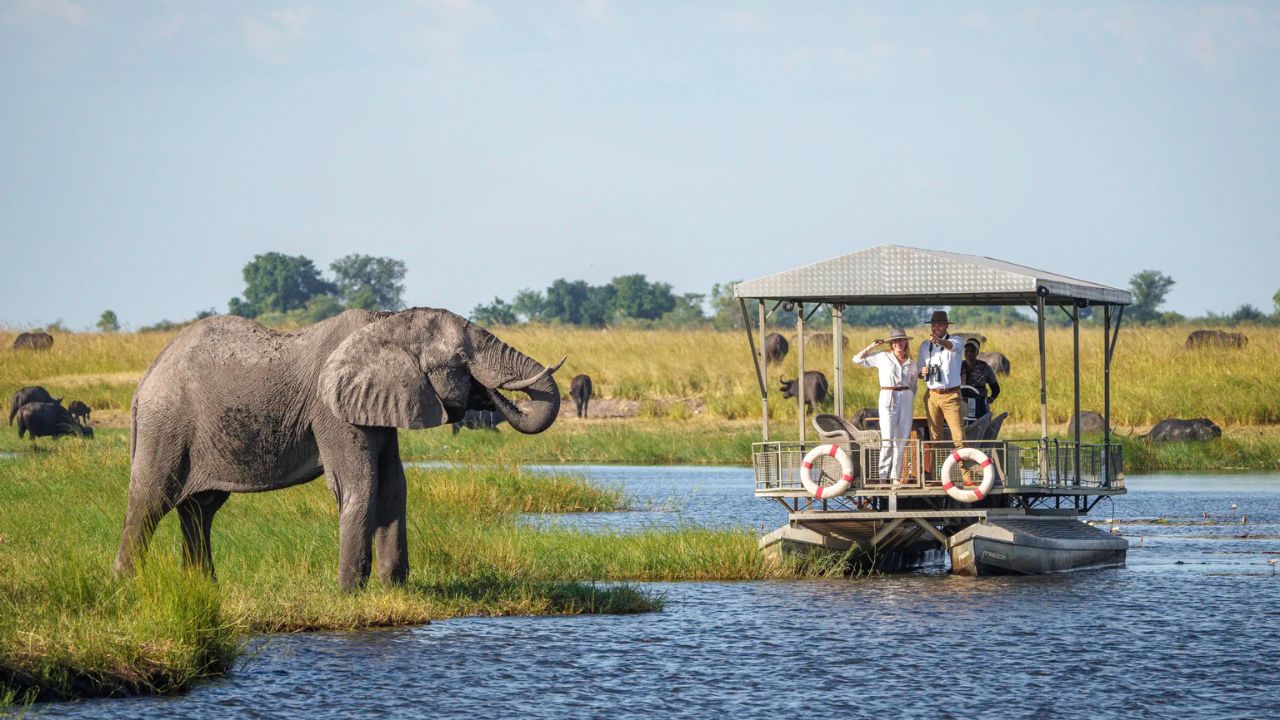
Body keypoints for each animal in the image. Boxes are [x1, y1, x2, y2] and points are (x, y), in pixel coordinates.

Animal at [114, 308, 565, 592]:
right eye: (459, 359)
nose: (491, 393)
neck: (386, 323)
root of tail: (144, 380)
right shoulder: (331, 408)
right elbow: (358, 485)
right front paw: (350, 593)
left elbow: (393, 487)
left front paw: (395, 589)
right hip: (165, 425)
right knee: (150, 501)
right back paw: (128, 587)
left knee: (199, 510)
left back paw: (205, 588)